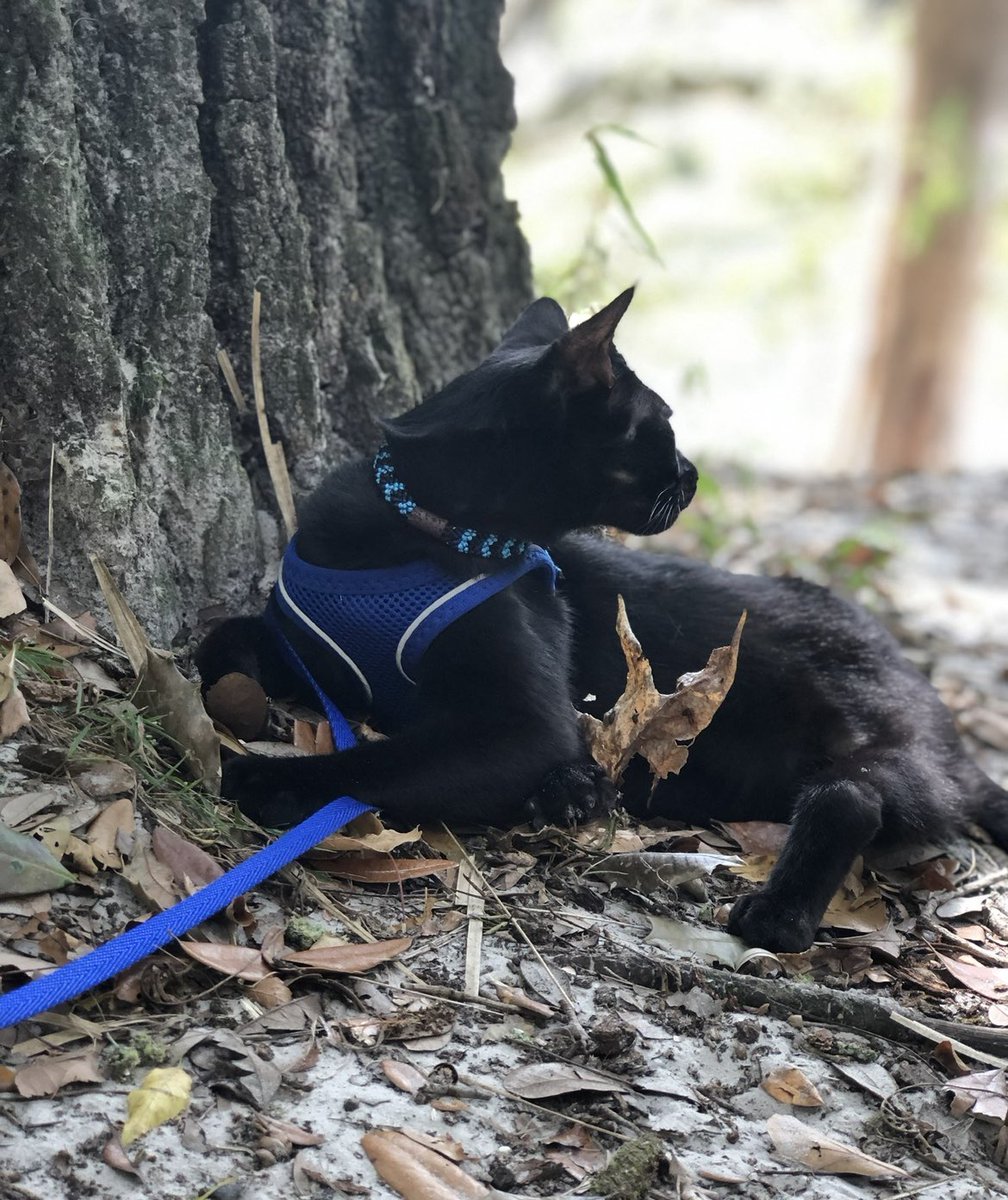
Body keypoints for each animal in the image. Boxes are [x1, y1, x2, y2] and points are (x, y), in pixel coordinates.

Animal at [199, 285, 1008, 950]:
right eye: (663, 427)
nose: (693, 475)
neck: (424, 528)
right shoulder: (308, 642)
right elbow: (226, 637)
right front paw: (233, 696)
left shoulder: (524, 727)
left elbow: (379, 762)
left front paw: (273, 777)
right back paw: (575, 790)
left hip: (870, 743)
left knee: (852, 798)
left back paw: (776, 913)